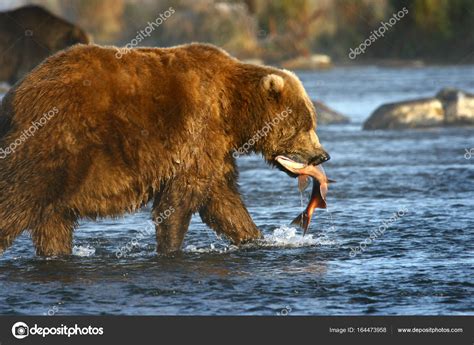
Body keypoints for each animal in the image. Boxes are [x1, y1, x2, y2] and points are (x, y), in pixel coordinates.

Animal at [0, 42, 330, 255]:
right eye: (305, 124)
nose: (322, 155)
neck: (232, 111)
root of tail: (14, 95)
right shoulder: (197, 131)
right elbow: (181, 199)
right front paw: (170, 247)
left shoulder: (216, 150)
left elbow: (223, 200)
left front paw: (256, 238)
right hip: (56, 142)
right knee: (17, 198)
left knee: (53, 221)